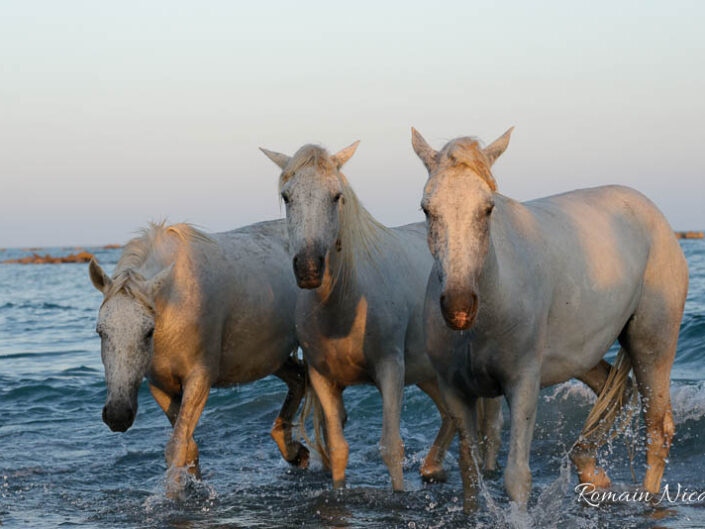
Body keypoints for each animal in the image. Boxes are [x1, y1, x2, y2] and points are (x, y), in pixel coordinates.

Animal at [88, 219, 308, 490]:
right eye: (101, 331)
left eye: (148, 332)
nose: (117, 415)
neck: (176, 303)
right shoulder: (161, 386)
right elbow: (189, 447)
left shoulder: (199, 379)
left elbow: (177, 446)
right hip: (271, 358)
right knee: (299, 379)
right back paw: (295, 453)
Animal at [262, 141, 504, 490]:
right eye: (287, 196)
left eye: (336, 196)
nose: (308, 268)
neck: (344, 308)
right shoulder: (322, 378)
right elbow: (337, 448)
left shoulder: (390, 369)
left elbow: (391, 446)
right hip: (428, 372)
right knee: (449, 415)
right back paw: (432, 468)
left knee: (492, 425)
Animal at [410, 126, 692, 510]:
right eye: (427, 209)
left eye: (487, 208)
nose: (459, 306)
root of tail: (653, 214)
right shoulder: (456, 391)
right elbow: (471, 476)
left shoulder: (522, 383)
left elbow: (517, 479)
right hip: (582, 353)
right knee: (616, 392)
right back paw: (590, 471)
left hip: (653, 344)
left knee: (656, 428)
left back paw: (647, 500)